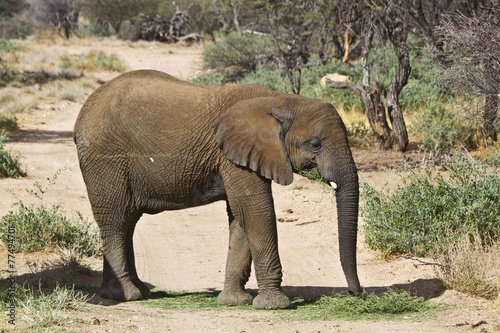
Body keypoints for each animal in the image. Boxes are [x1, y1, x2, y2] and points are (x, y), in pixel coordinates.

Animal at [74, 69, 362, 308]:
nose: (356, 294)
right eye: (315, 144)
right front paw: (275, 305)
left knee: (127, 223)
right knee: (115, 220)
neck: (278, 100)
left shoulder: (240, 155)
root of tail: (85, 110)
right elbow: (256, 211)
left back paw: (133, 293)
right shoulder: (233, 155)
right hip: (105, 158)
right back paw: (127, 296)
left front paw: (234, 302)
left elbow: (240, 216)